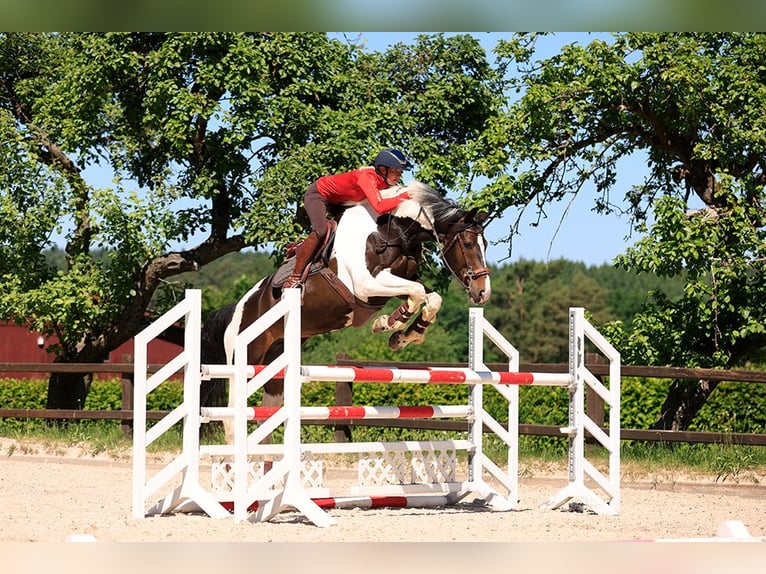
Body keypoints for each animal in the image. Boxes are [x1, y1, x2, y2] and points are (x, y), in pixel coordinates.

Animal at [201, 181, 496, 446]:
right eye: (468, 244)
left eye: (486, 243)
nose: (483, 292)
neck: (393, 232)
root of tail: (237, 309)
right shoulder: (367, 286)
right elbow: (417, 294)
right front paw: (388, 325)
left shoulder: (395, 282)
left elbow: (429, 297)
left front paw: (402, 335)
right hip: (246, 359)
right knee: (231, 417)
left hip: (275, 364)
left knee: (267, 416)